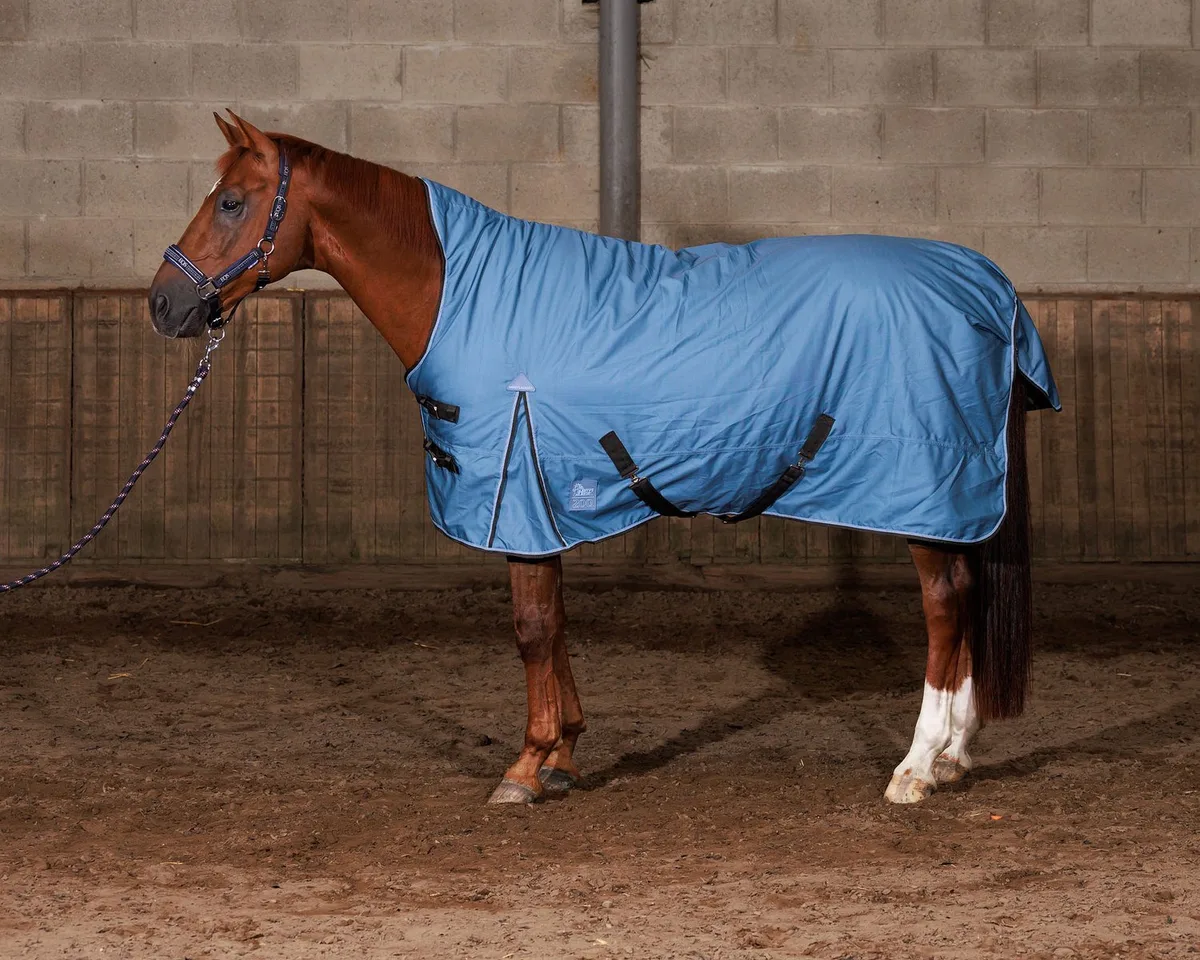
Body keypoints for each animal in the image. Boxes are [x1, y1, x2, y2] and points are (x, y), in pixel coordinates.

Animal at [149, 111, 1060, 806]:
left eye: (231, 201)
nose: (165, 303)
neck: (461, 293)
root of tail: (987, 285)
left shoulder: (513, 493)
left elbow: (529, 628)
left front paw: (525, 767)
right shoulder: (540, 498)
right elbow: (553, 624)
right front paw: (564, 751)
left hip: (923, 491)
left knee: (945, 607)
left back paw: (916, 768)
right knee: (966, 596)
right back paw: (955, 754)